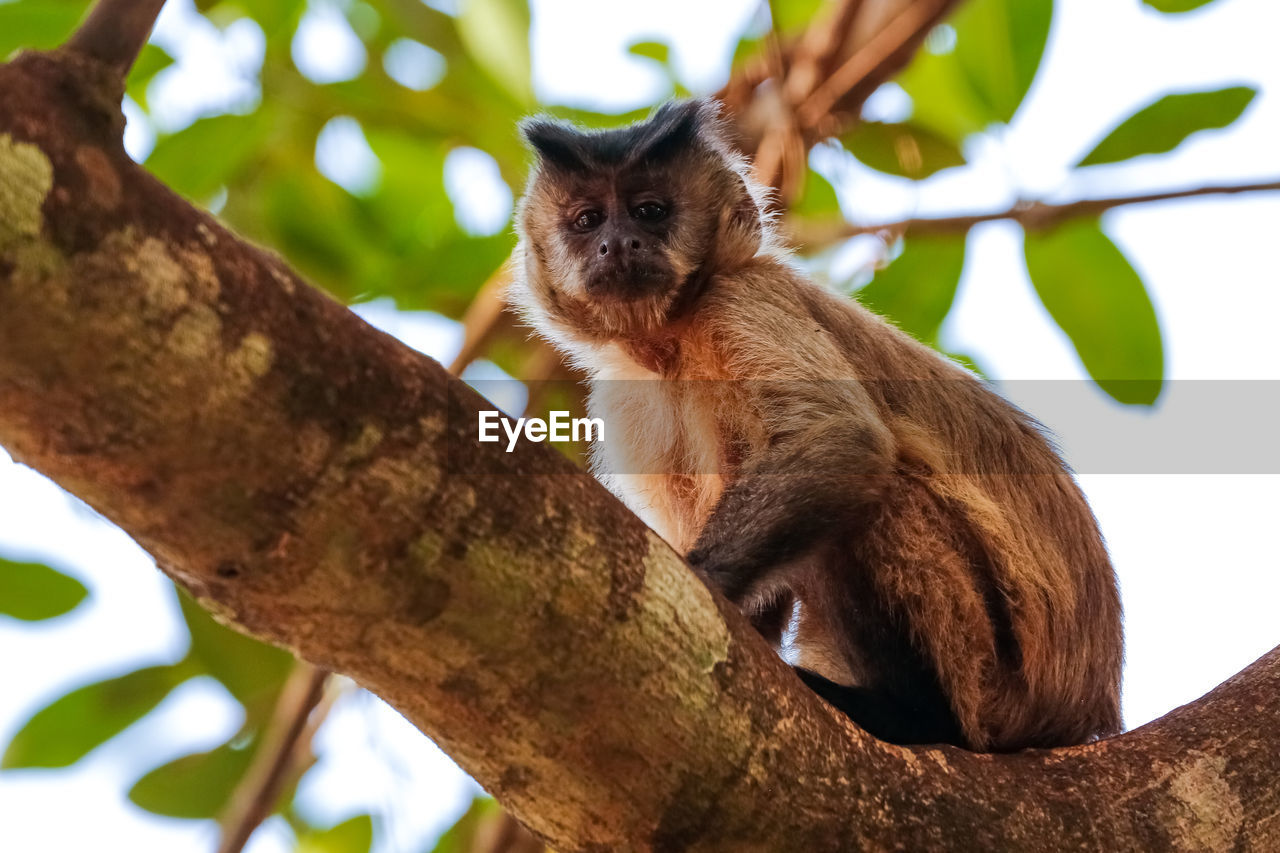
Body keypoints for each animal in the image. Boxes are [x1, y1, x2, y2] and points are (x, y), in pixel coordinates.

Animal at [504, 101, 1126, 753]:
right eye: (586, 220)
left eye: (651, 211)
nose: (617, 242)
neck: (670, 341)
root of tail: (1079, 712)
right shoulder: (626, 395)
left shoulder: (743, 299)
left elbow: (839, 437)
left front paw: (703, 582)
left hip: (995, 686)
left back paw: (915, 716)